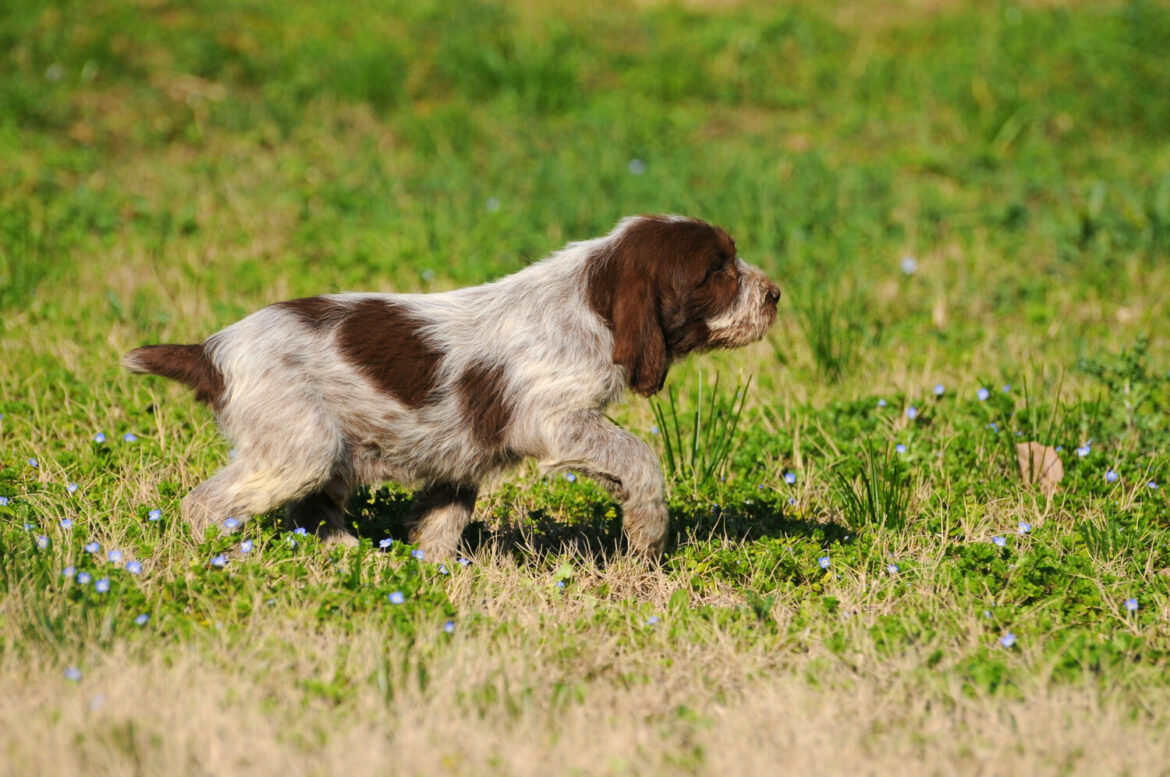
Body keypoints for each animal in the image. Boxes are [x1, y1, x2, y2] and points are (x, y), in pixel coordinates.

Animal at [123, 215, 781, 554]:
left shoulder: (460, 456)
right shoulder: (556, 420)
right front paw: (648, 535)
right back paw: (214, 558)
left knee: (314, 514)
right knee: (204, 504)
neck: (587, 303)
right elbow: (641, 458)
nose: (775, 295)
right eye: (717, 271)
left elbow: (440, 522)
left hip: (325, 455)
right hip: (297, 449)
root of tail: (212, 352)